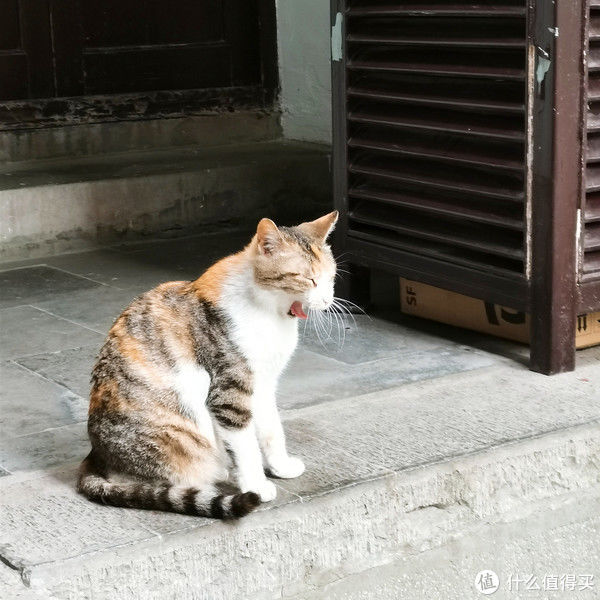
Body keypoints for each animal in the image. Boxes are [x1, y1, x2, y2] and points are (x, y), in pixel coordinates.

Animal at [77, 212, 338, 520]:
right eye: (308, 279)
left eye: (331, 277)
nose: (328, 300)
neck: (271, 312)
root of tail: (96, 454)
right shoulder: (229, 391)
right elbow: (245, 445)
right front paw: (257, 486)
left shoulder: (263, 384)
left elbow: (272, 429)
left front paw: (281, 466)